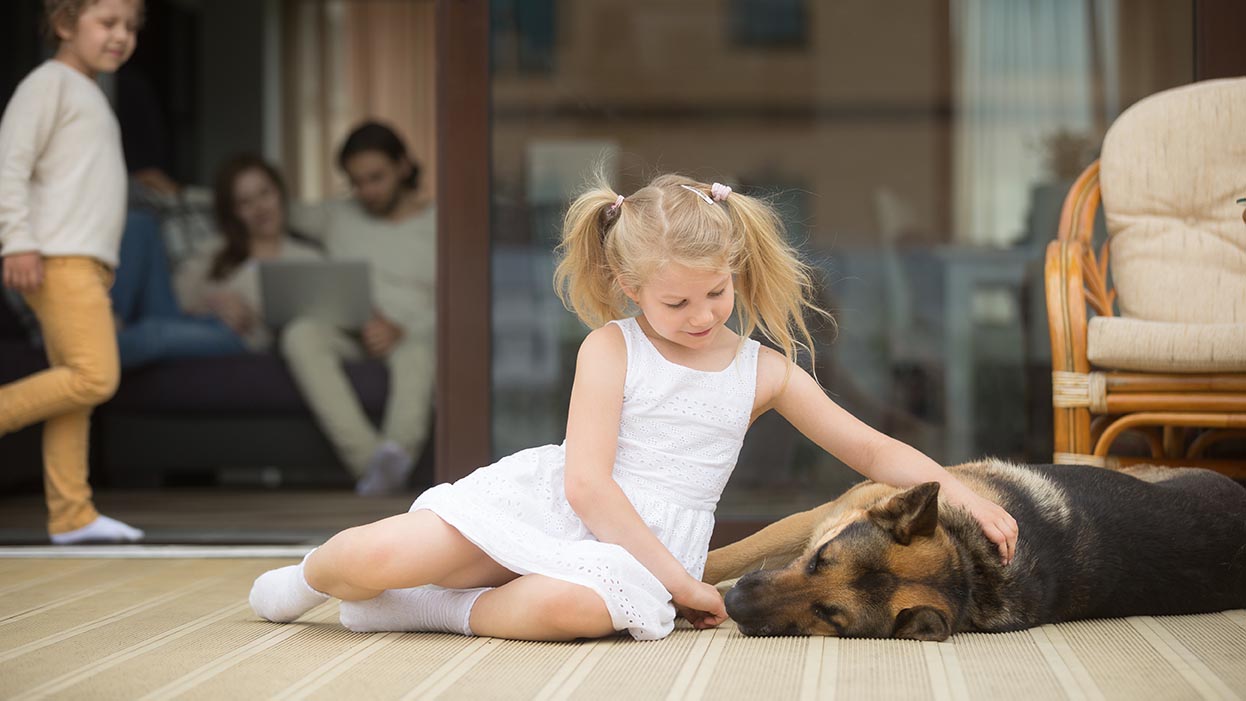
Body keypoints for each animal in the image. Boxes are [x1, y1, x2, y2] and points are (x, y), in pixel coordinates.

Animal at [702, 460, 1246, 642]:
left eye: (828, 615)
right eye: (818, 562)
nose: (735, 604)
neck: (971, 566)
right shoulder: (819, 518)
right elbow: (731, 553)